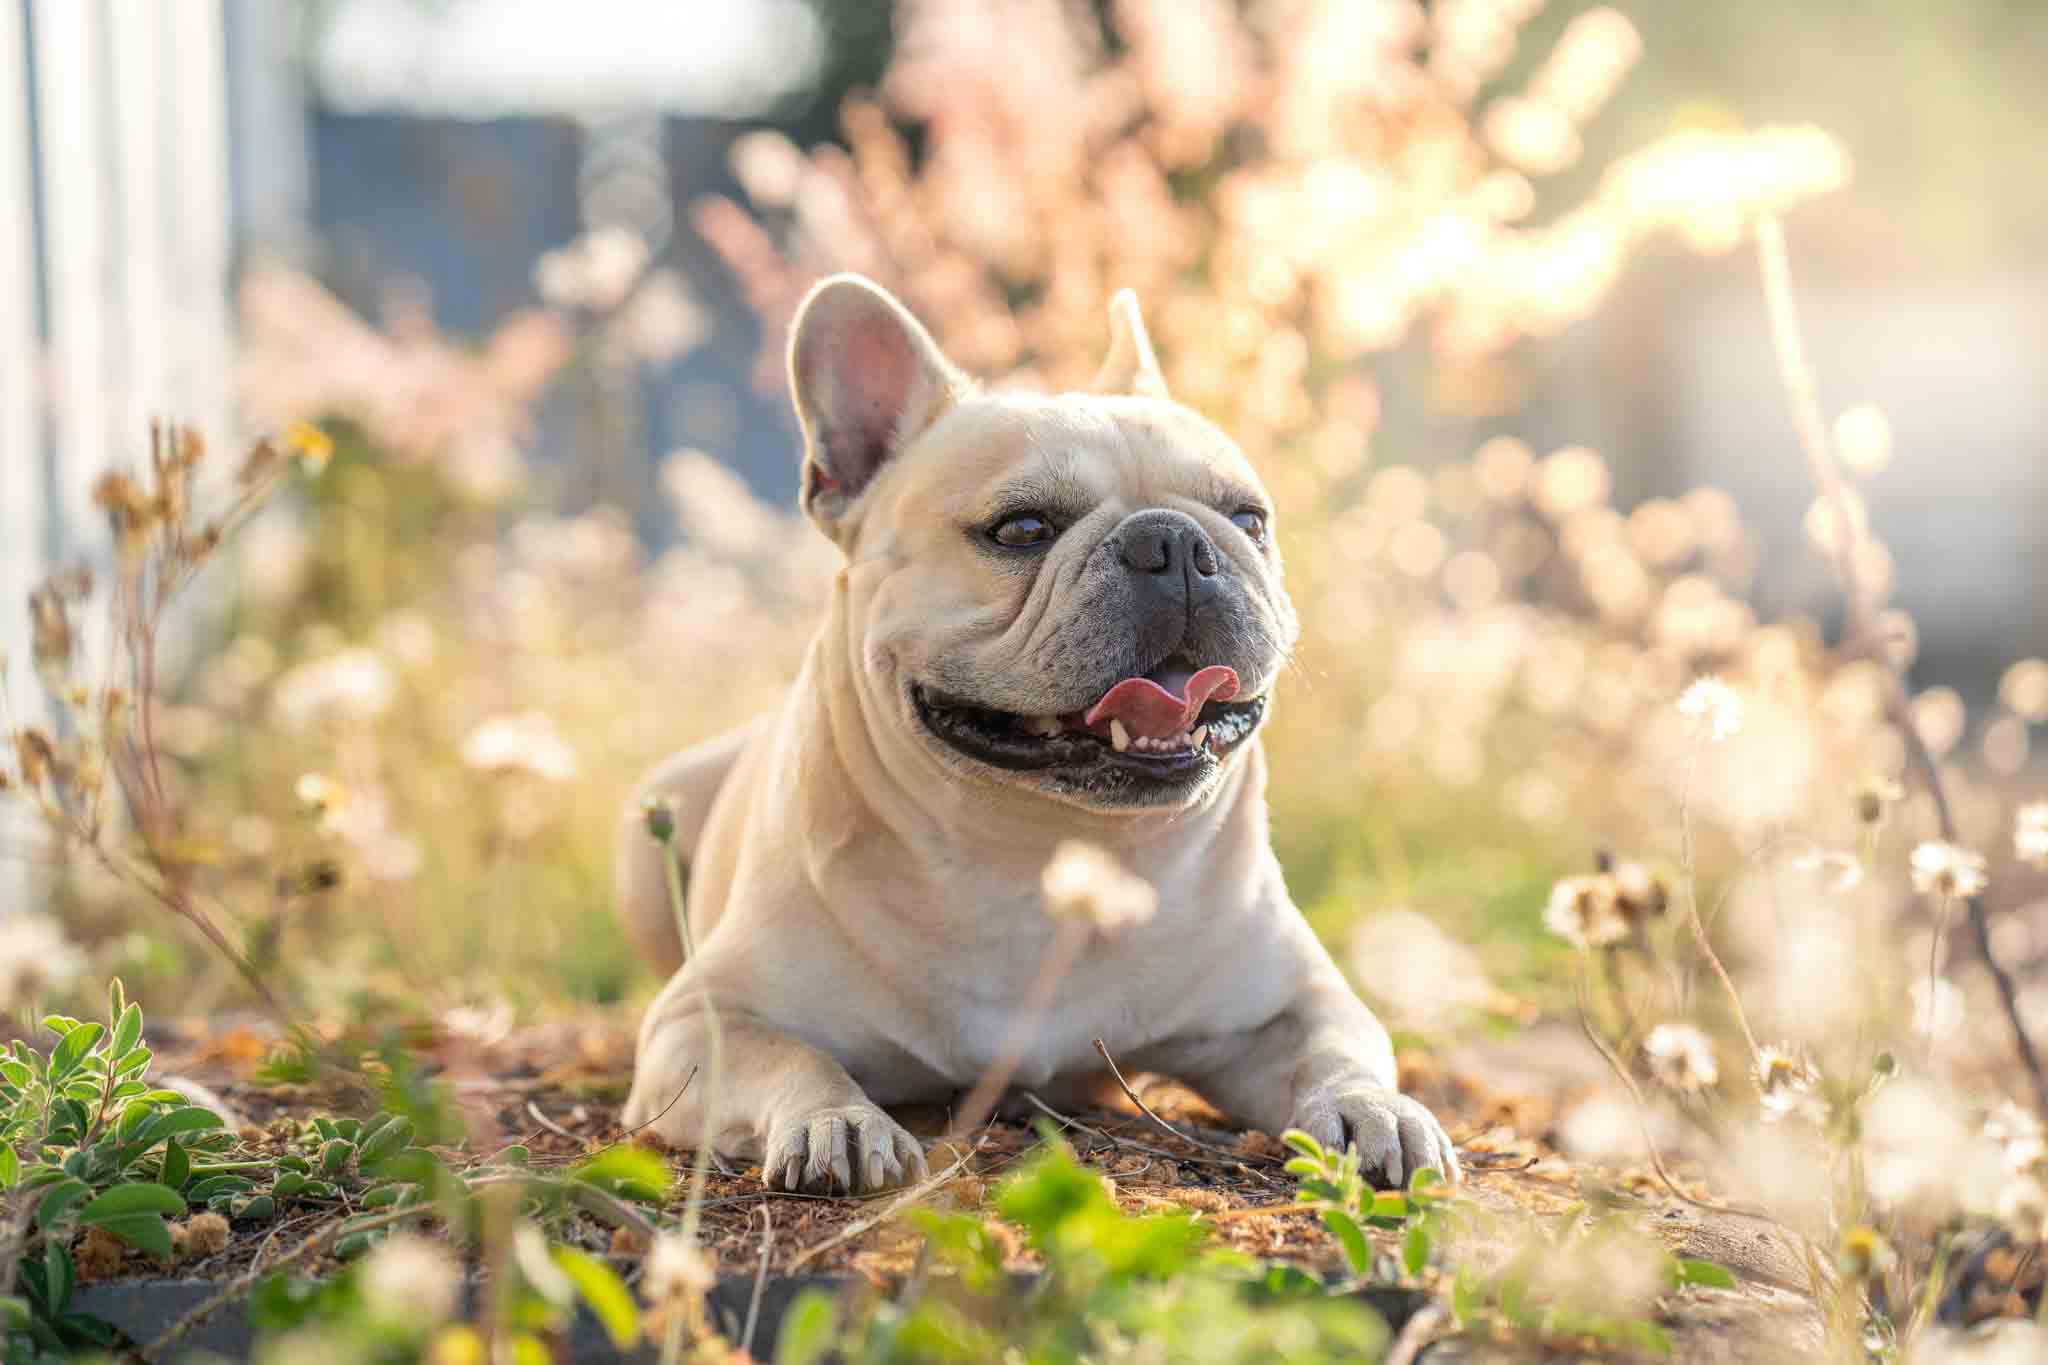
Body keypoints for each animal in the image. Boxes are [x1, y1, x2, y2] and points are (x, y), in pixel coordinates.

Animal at [614, 278, 1466, 1195]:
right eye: (1020, 529)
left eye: (1249, 518)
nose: (1174, 539)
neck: (1039, 848)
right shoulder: (701, 1023)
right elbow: (792, 1057)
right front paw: (835, 1119)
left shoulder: (1292, 1003)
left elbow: (1340, 1050)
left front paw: (1376, 1109)